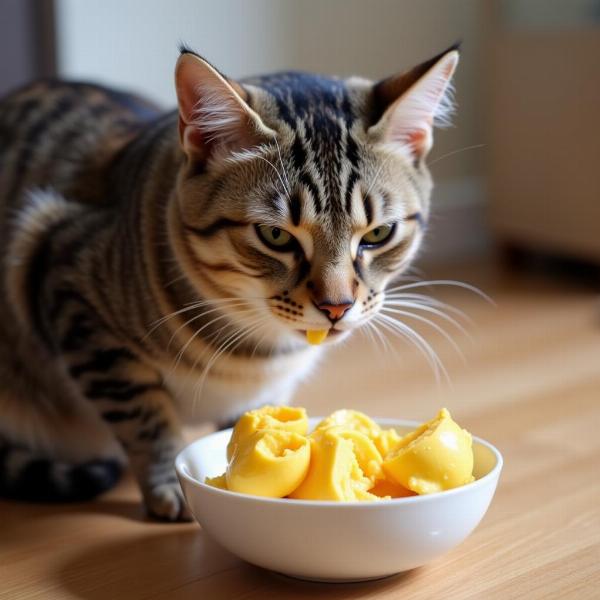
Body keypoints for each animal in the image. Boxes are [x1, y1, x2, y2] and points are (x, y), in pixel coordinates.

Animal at [0, 44, 460, 516]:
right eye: (275, 235)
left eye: (378, 234)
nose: (337, 307)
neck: (256, 351)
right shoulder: (73, 298)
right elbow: (146, 420)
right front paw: (170, 487)